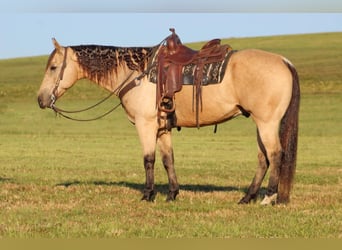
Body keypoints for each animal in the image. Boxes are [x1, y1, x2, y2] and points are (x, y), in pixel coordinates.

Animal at [36, 29, 300, 205]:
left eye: (53, 67)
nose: (41, 99)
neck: (137, 73)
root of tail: (284, 62)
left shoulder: (145, 124)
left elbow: (148, 159)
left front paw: (148, 194)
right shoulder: (162, 128)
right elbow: (167, 159)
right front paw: (173, 193)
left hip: (266, 123)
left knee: (275, 155)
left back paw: (269, 197)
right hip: (261, 123)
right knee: (263, 158)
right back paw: (247, 197)